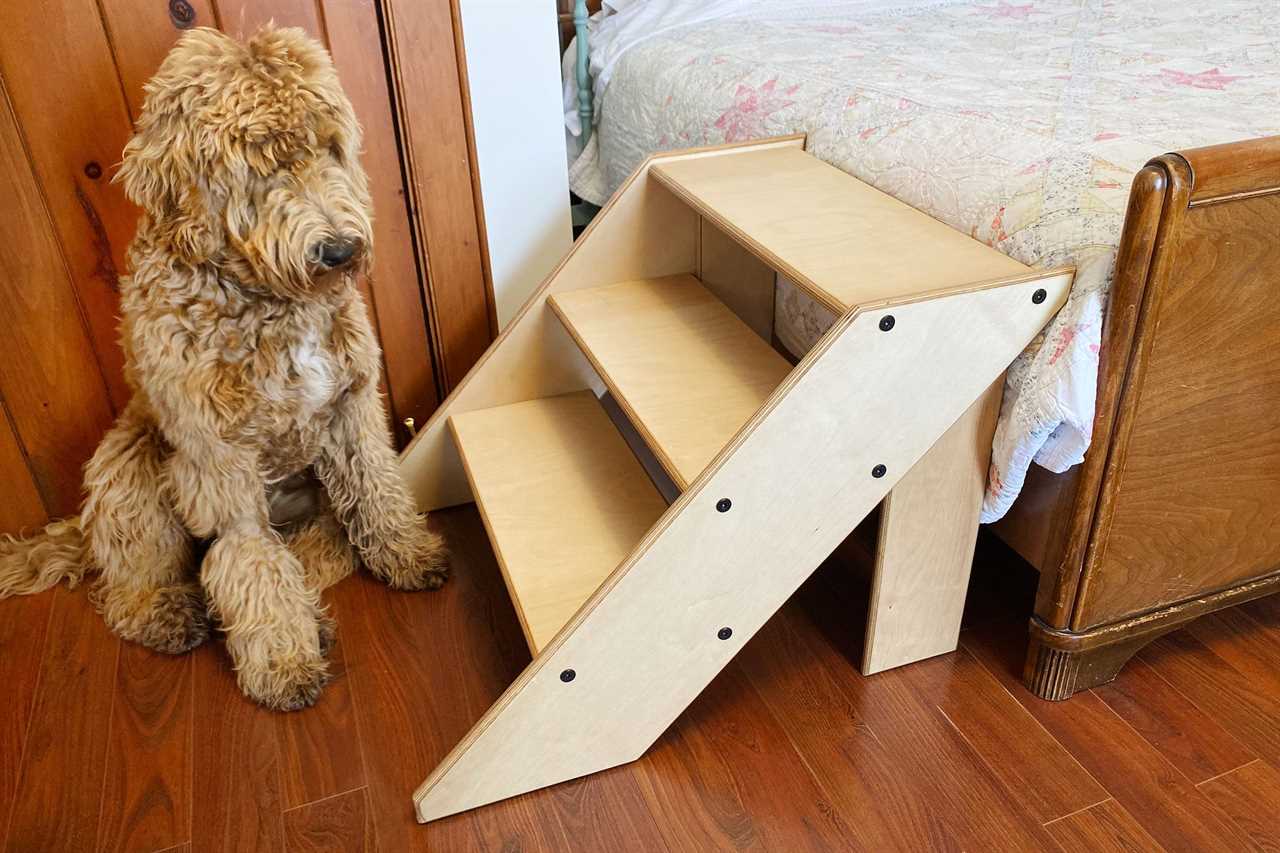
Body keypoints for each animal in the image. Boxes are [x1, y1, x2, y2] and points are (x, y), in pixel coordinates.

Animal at [0, 26, 450, 706]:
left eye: (330, 146)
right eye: (260, 164)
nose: (340, 250)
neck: (268, 303)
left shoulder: (351, 407)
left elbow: (377, 488)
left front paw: (407, 553)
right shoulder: (220, 464)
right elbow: (246, 557)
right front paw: (283, 664)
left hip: (309, 502)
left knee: (318, 550)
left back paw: (313, 613)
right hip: (128, 464)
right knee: (135, 582)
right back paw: (168, 613)